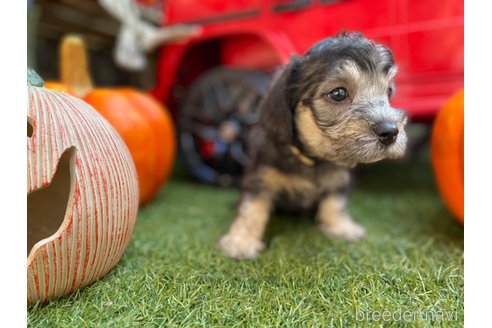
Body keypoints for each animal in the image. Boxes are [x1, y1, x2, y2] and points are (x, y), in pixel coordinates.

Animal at [219, 32, 408, 260]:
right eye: (338, 94)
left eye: (388, 92)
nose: (390, 132)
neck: (312, 159)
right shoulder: (260, 177)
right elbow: (252, 208)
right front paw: (241, 241)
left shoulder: (340, 177)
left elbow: (334, 201)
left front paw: (340, 226)